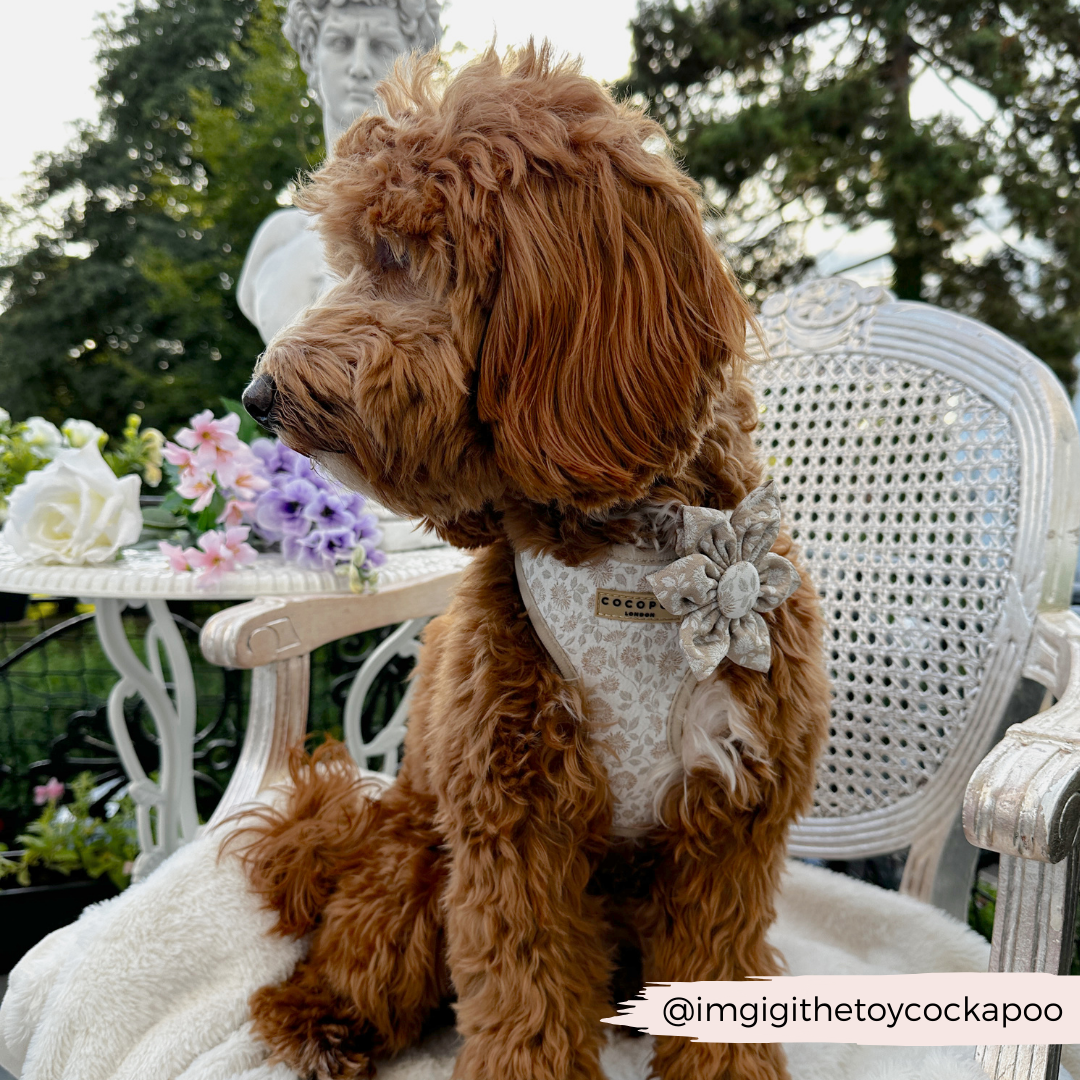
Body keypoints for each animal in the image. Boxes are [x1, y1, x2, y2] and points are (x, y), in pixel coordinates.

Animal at [232, 39, 829, 1080]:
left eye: (396, 255)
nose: (260, 394)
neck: (630, 555)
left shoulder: (729, 826)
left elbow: (719, 977)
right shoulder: (512, 826)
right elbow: (524, 994)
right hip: (411, 867)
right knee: (342, 964)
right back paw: (320, 1024)